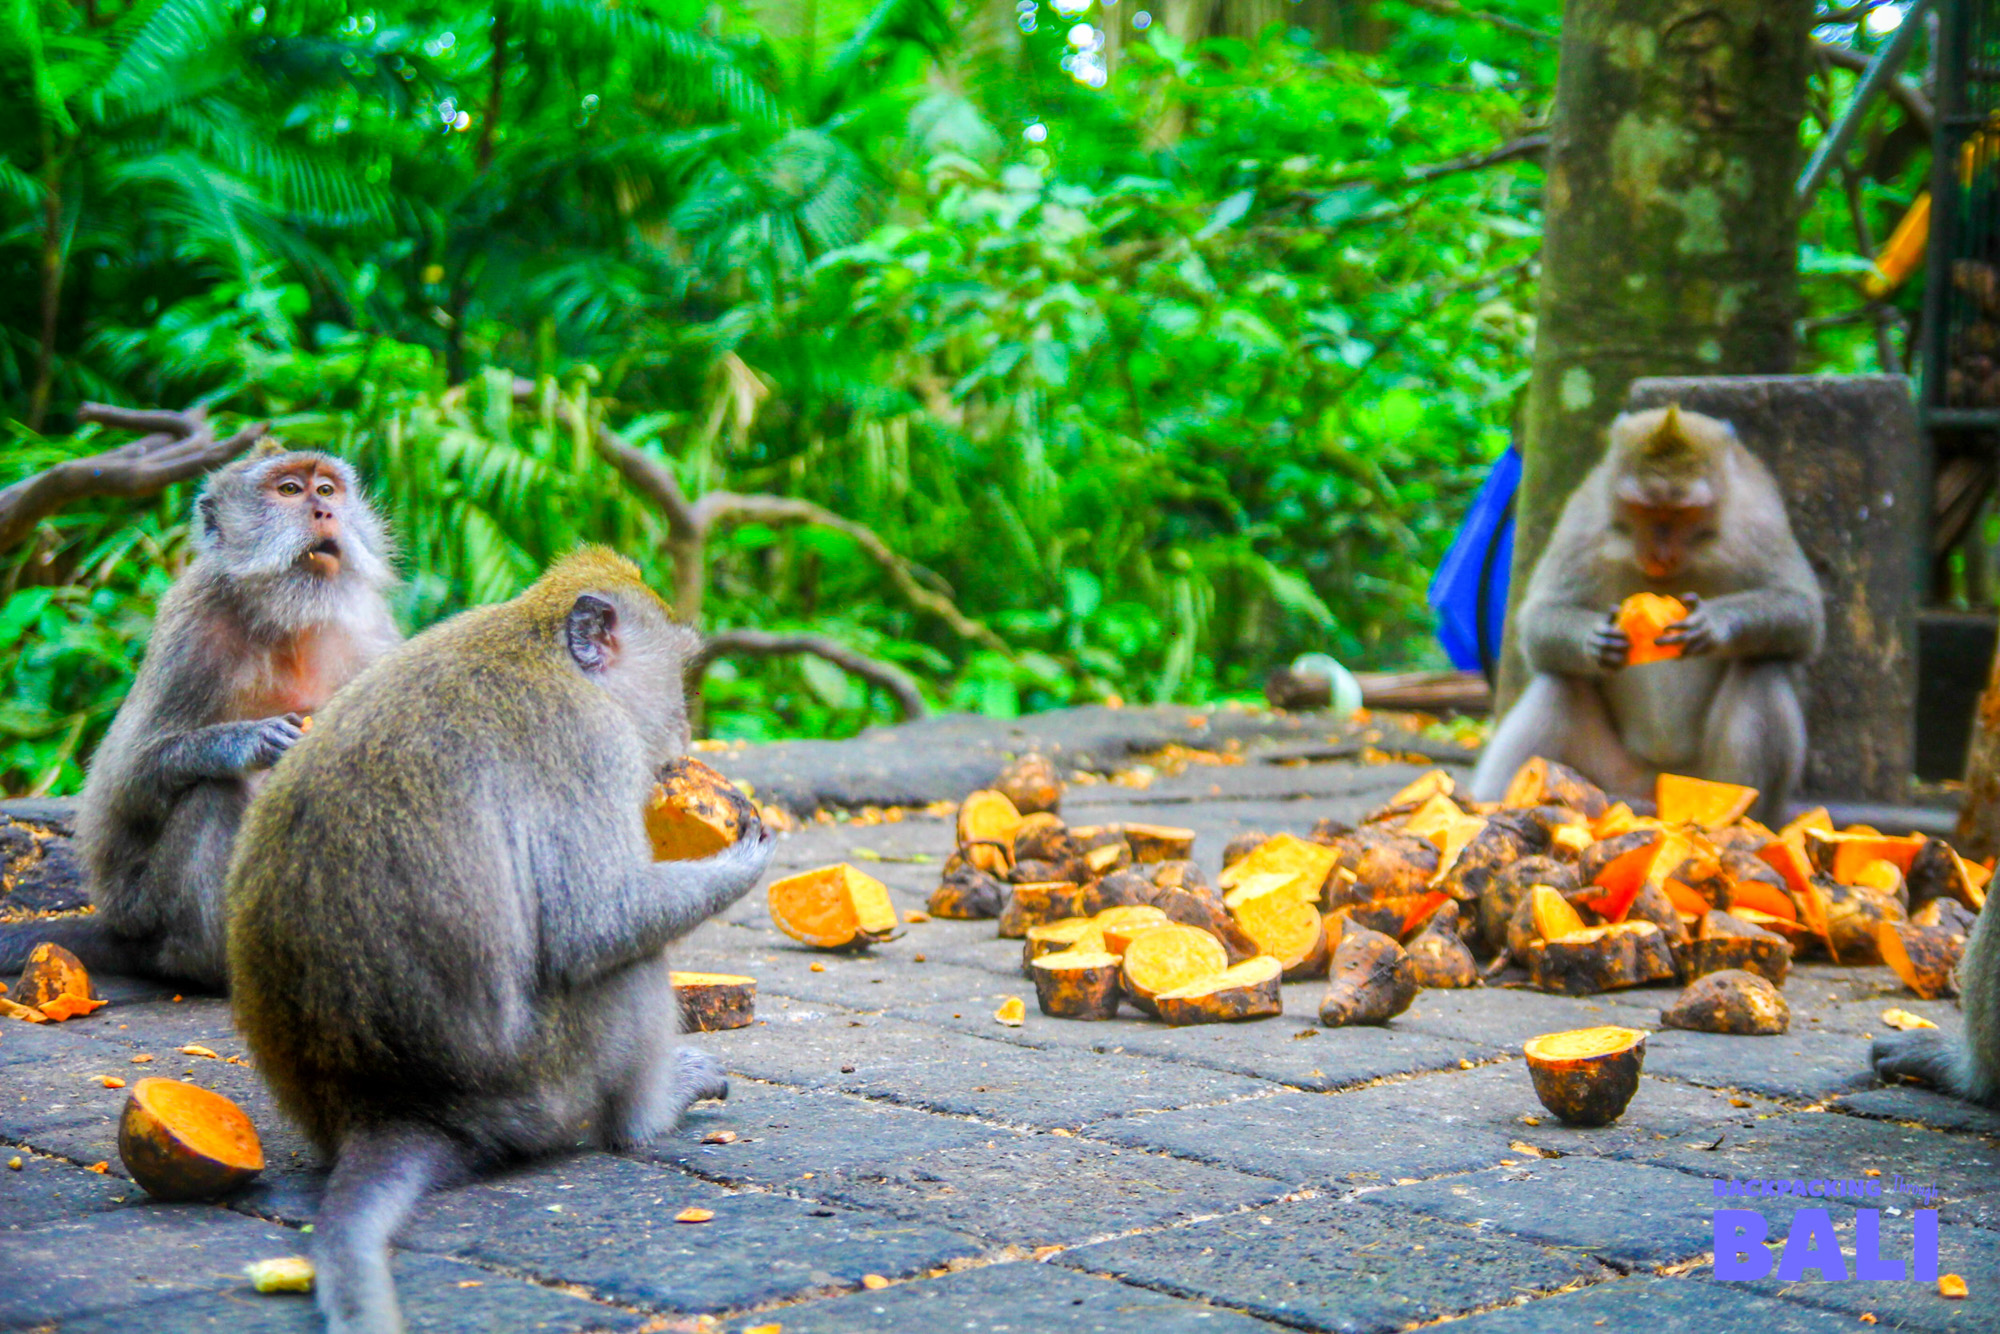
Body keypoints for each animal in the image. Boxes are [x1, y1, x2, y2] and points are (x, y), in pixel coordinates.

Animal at [0, 446, 398, 990]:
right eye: (289, 490)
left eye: (327, 490)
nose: (324, 512)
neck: (288, 617)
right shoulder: (190, 628)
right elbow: (124, 783)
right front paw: (249, 741)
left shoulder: (372, 636)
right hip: (150, 911)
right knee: (212, 795)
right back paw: (222, 966)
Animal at [225, 547, 775, 1334]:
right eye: (675, 673)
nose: (682, 735)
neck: (537, 642)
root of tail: (388, 1107)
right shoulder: (589, 745)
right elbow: (592, 923)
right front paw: (744, 860)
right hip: (542, 1086)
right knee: (623, 966)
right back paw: (648, 1116)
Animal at [1470, 406, 1824, 826]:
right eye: (1644, 509)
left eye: (1683, 512)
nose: (1660, 554)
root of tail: (1657, 787)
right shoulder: (1586, 515)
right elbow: (1539, 619)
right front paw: (1594, 641)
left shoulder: (1758, 516)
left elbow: (1803, 614)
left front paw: (1715, 624)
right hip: (1609, 777)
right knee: (1559, 683)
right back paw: (1491, 803)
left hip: (1703, 776)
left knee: (1762, 669)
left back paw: (1744, 818)